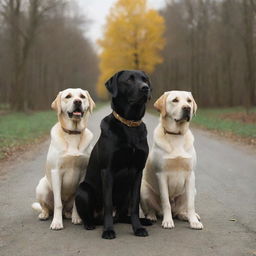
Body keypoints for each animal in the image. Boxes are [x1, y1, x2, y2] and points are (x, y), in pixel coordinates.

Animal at [32, 87, 95, 230]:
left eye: (82, 96)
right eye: (68, 96)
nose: (77, 102)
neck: (73, 134)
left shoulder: (84, 171)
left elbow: (77, 201)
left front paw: (76, 218)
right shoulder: (56, 172)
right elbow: (58, 203)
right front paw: (56, 222)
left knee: (67, 208)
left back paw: (68, 214)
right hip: (42, 187)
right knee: (48, 207)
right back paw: (44, 215)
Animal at [76, 69, 152, 238]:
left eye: (145, 79)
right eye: (129, 80)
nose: (145, 88)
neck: (130, 124)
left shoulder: (138, 172)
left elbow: (135, 205)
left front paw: (138, 228)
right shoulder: (108, 171)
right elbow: (108, 204)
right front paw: (108, 230)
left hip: (126, 194)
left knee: (123, 215)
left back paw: (144, 221)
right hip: (83, 190)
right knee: (90, 216)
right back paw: (90, 224)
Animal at [140, 90, 204, 230]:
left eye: (189, 101)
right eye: (175, 100)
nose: (187, 108)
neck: (176, 136)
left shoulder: (190, 175)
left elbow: (191, 204)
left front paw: (193, 222)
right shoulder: (161, 175)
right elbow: (166, 202)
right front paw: (168, 221)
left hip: (192, 190)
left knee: (180, 210)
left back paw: (186, 215)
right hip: (144, 190)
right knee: (152, 210)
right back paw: (152, 216)